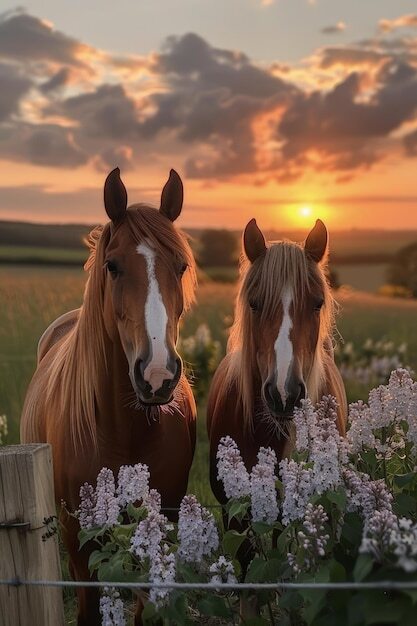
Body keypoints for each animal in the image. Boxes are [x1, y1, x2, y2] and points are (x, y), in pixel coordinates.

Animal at [19, 167, 195, 624]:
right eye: (113, 266)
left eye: (181, 265)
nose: (157, 374)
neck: (124, 432)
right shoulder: (81, 542)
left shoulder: (160, 525)